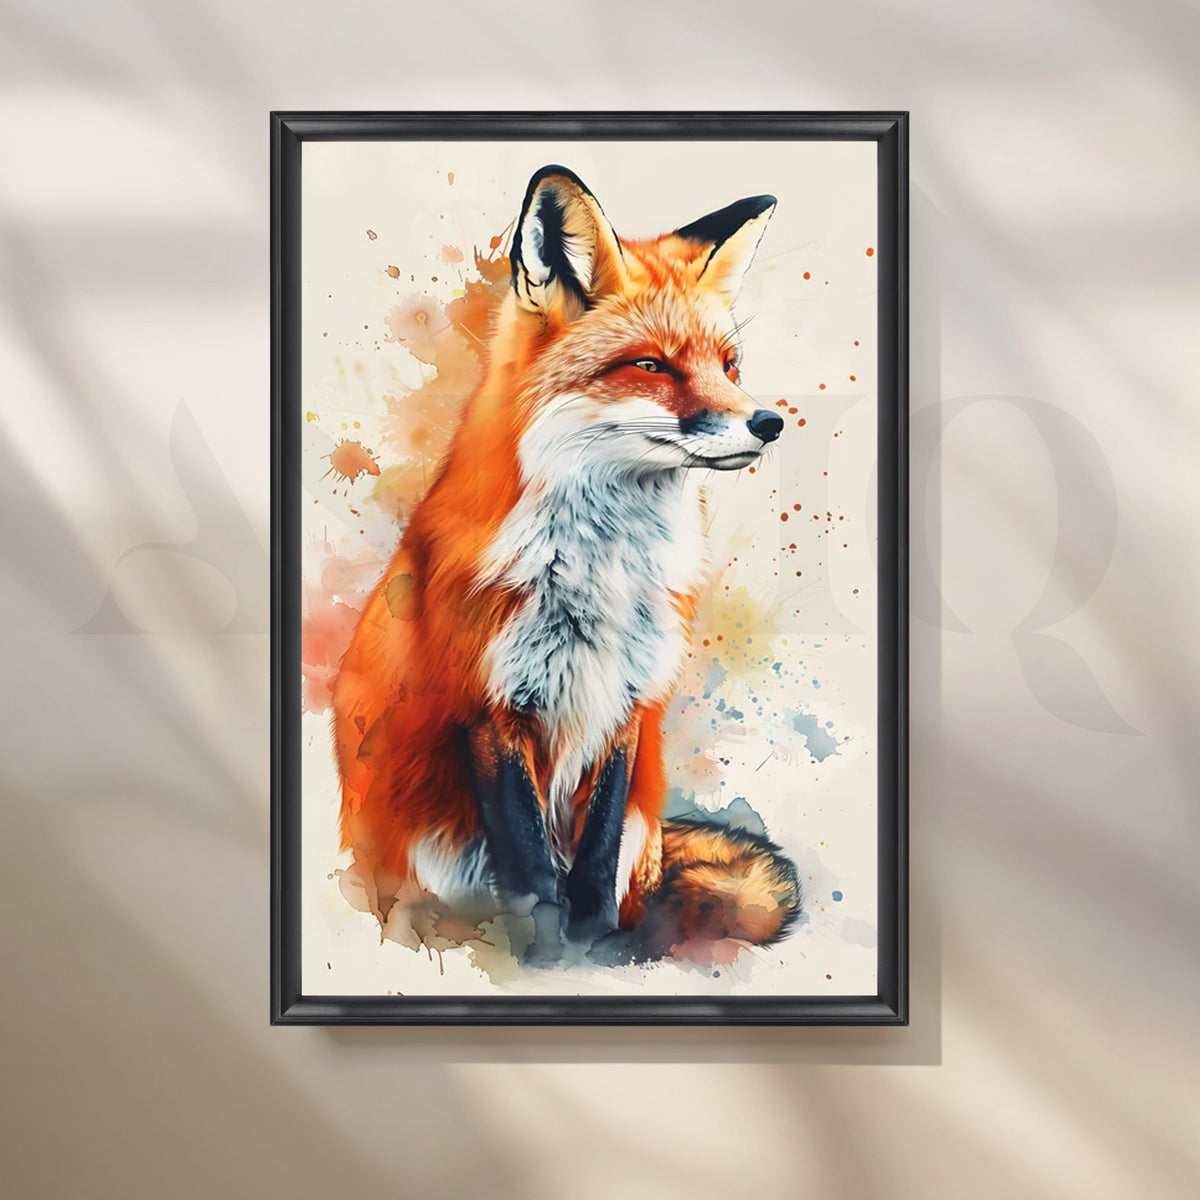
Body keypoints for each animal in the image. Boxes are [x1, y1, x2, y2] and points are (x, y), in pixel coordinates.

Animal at [333, 165, 801, 961]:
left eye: (729, 365)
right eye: (650, 365)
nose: (768, 423)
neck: (601, 576)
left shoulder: (627, 701)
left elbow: (595, 856)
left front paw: (595, 944)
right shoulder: (489, 707)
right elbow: (529, 874)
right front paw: (545, 957)